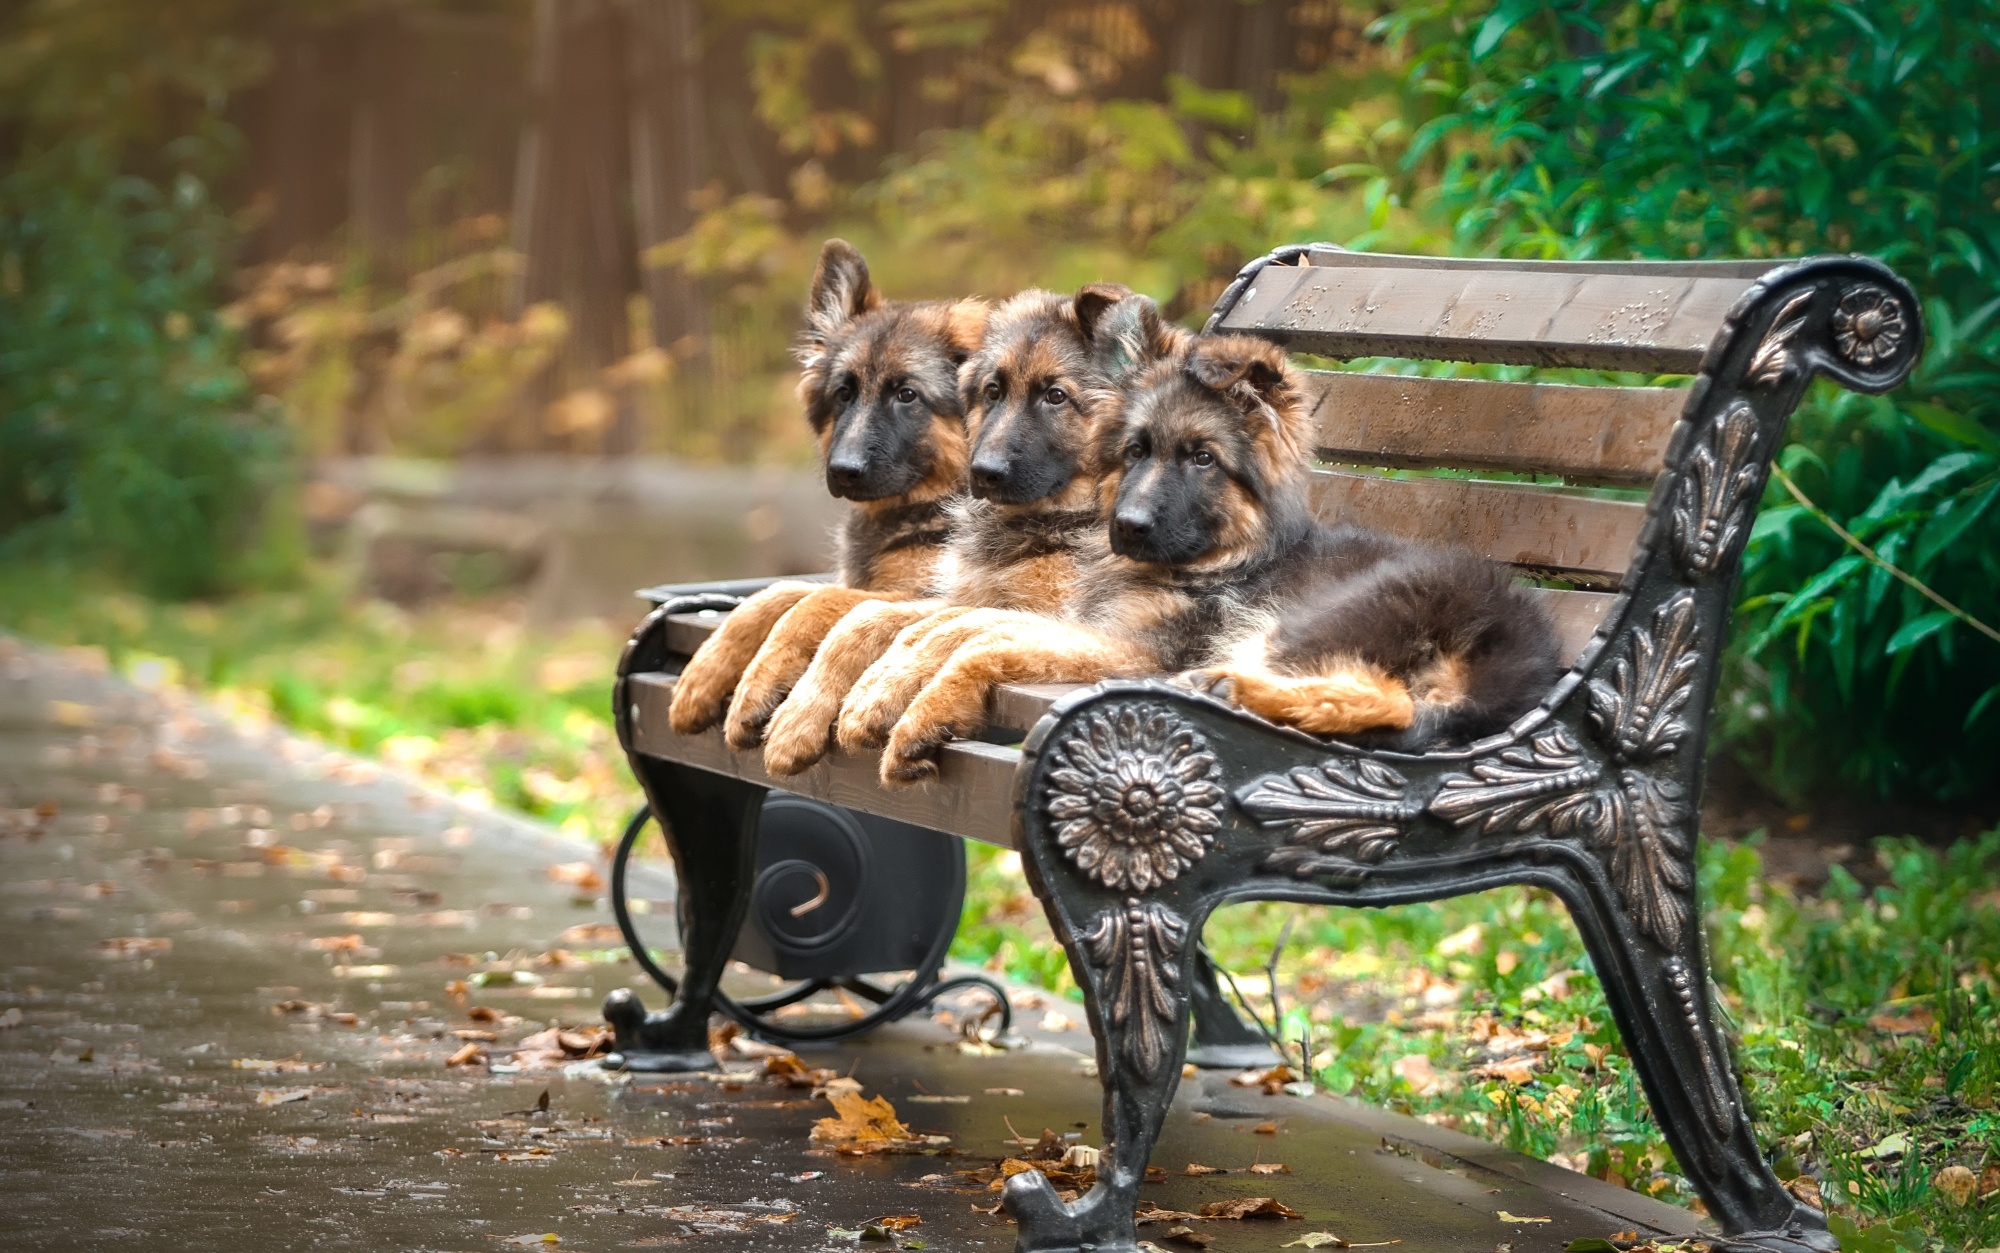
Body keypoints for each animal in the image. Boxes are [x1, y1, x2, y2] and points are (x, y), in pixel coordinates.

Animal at [668, 236, 988, 732]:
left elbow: (815, 604)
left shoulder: (920, 595)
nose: (842, 470)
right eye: (844, 393)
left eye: (907, 395)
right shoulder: (845, 583)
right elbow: (775, 594)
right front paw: (704, 672)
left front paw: (760, 683)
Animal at [868, 306, 1552, 780]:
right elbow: (963, 624)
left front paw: (920, 714)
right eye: (1136, 451)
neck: (1223, 559)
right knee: (1387, 700)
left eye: (1202, 459)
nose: (1127, 526)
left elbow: (981, 641)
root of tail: (1516, 644)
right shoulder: (1090, 626)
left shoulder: (1137, 650)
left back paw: (1229, 687)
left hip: (1317, 616)